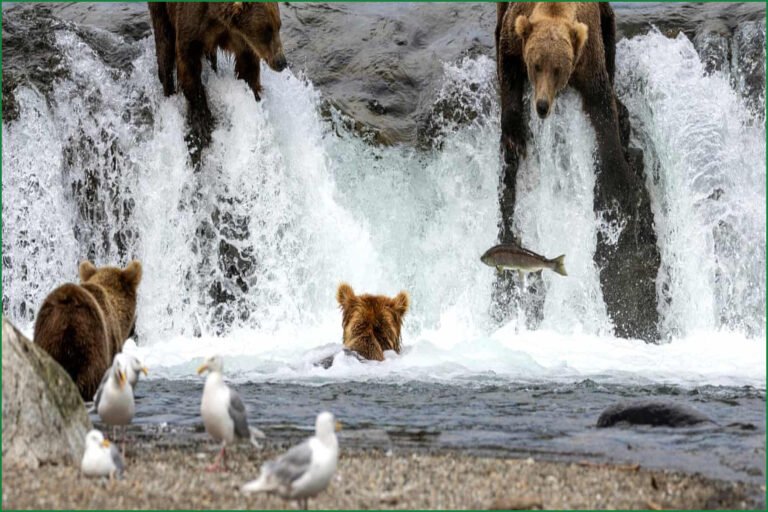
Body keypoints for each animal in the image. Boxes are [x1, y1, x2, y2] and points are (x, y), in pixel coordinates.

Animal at [148, 2, 288, 149]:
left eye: (278, 26)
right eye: (266, 30)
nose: (281, 62)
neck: (216, 16)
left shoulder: (239, 37)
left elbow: (247, 67)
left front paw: (254, 96)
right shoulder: (192, 24)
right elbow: (188, 66)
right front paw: (201, 124)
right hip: (161, 10)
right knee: (164, 43)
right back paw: (168, 92)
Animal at [495, 2, 661, 342]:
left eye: (558, 68)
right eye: (536, 64)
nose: (542, 105)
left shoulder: (588, 57)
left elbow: (603, 109)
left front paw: (620, 182)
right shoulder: (515, 35)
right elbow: (507, 68)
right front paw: (514, 136)